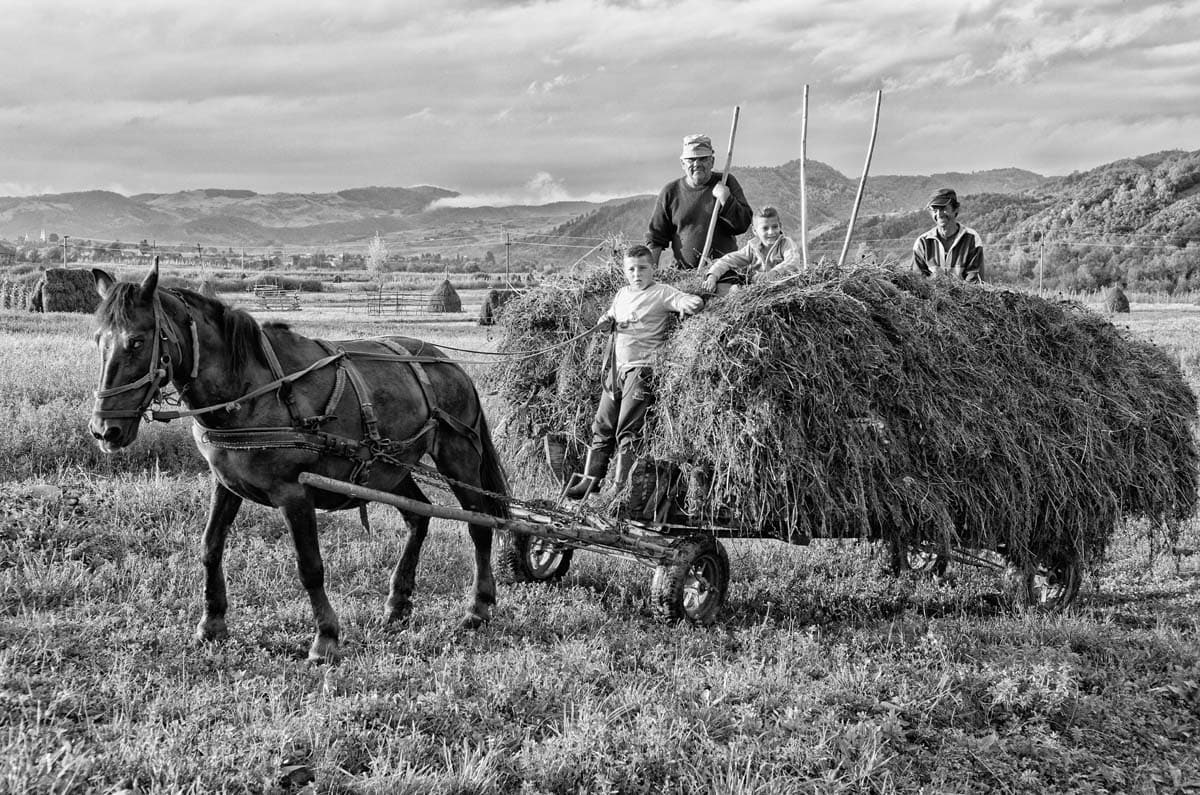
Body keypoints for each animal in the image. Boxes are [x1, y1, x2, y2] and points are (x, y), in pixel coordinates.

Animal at [88, 264, 511, 662]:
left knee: (480, 525)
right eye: (98, 340)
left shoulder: (294, 493)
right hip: (390, 468)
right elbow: (210, 548)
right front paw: (212, 623)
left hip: (457, 457)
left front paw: (326, 638)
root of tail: (449, 363)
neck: (251, 392)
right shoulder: (225, 484)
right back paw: (398, 603)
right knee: (418, 516)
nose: (104, 430)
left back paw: (478, 607)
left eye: (137, 341)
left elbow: (309, 566)